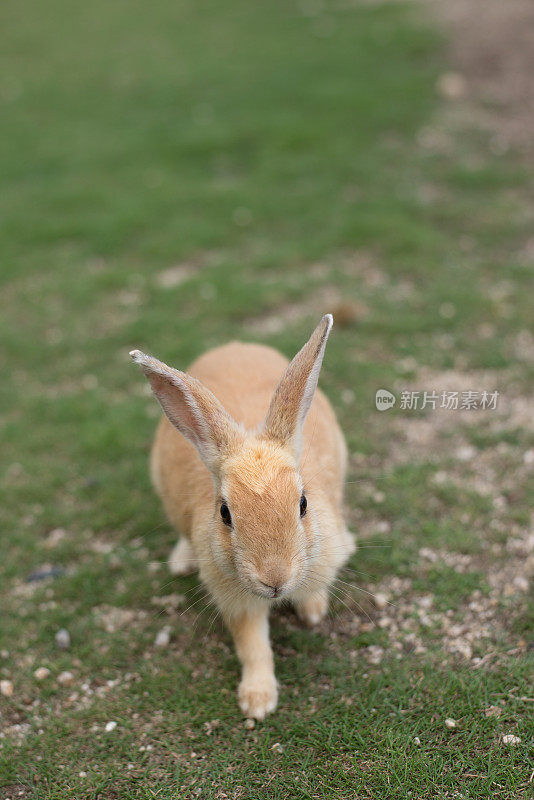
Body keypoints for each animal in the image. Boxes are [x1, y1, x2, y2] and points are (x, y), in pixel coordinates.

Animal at [130, 314, 356, 720]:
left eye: (303, 503)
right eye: (225, 513)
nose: (275, 580)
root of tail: (234, 347)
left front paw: (313, 612)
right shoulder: (236, 600)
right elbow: (253, 647)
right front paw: (257, 702)